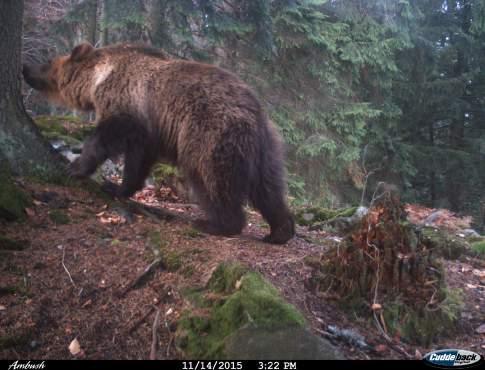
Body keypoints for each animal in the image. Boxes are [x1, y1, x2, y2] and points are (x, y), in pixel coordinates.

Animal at [23, 42, 294, 243]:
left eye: (47, 62)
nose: (26, 68)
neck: (98, 79)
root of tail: (253, 109)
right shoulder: (148, 132)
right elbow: (138, 160)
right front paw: (117, 187)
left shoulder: (126, 106)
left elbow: (106, 137)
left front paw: (76, 167)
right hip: (267, 147)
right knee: (268, 188)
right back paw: (280, 231)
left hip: (208, 133)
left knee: (211, 176)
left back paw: (215, 223)